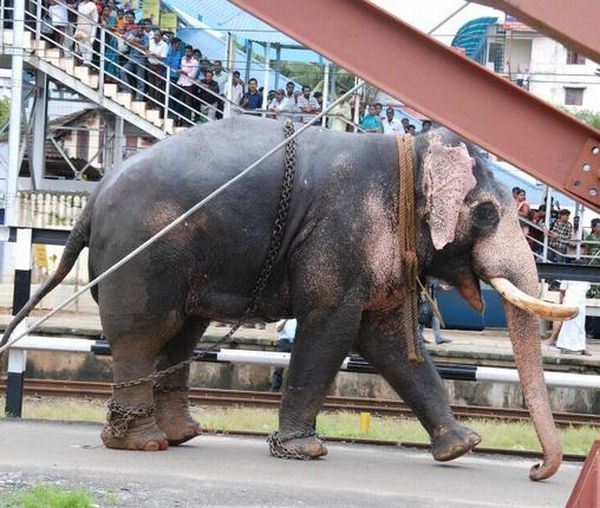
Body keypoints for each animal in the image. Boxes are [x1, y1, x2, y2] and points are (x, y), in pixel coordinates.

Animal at [3, 116, 576, 480]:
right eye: (487, 214)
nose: (535, 470)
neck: (407, 151)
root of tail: (94, 195)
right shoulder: (338, 236)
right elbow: (333, 327)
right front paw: (304, 450)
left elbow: (389, 341)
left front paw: (462, 446)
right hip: (142, 255)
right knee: (144, 334)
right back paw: (143, 442)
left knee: (182, 334)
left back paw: (183, 433)